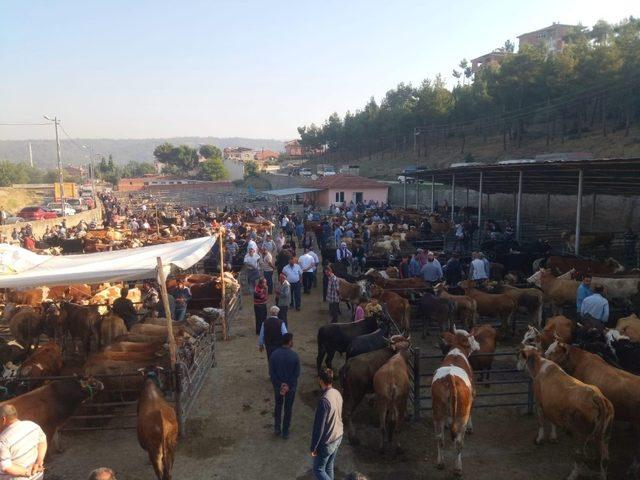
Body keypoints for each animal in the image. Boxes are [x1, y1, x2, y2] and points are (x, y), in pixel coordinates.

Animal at [430, 328, 480, 474]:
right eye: (472, 338)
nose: (478, 345)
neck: (457, 349)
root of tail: (450, 376)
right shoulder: (473, 393)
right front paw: (470, 427)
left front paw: (448, 423)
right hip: (462, 413)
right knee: (458, 441)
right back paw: (458, 468)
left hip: (437, 409)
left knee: (439, 437)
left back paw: (440, 462)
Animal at [520, 344, 616, 480]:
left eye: (519, 354)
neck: (539, 367)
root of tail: (597, 397)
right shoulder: (552, 405)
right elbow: (552, 422)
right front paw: (553, 437)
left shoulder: (539, 403)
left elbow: (541, 422)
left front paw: (539, 439)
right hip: (605, 434)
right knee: (605, 459)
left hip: (580, 434)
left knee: (580, 456)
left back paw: (573, 474)